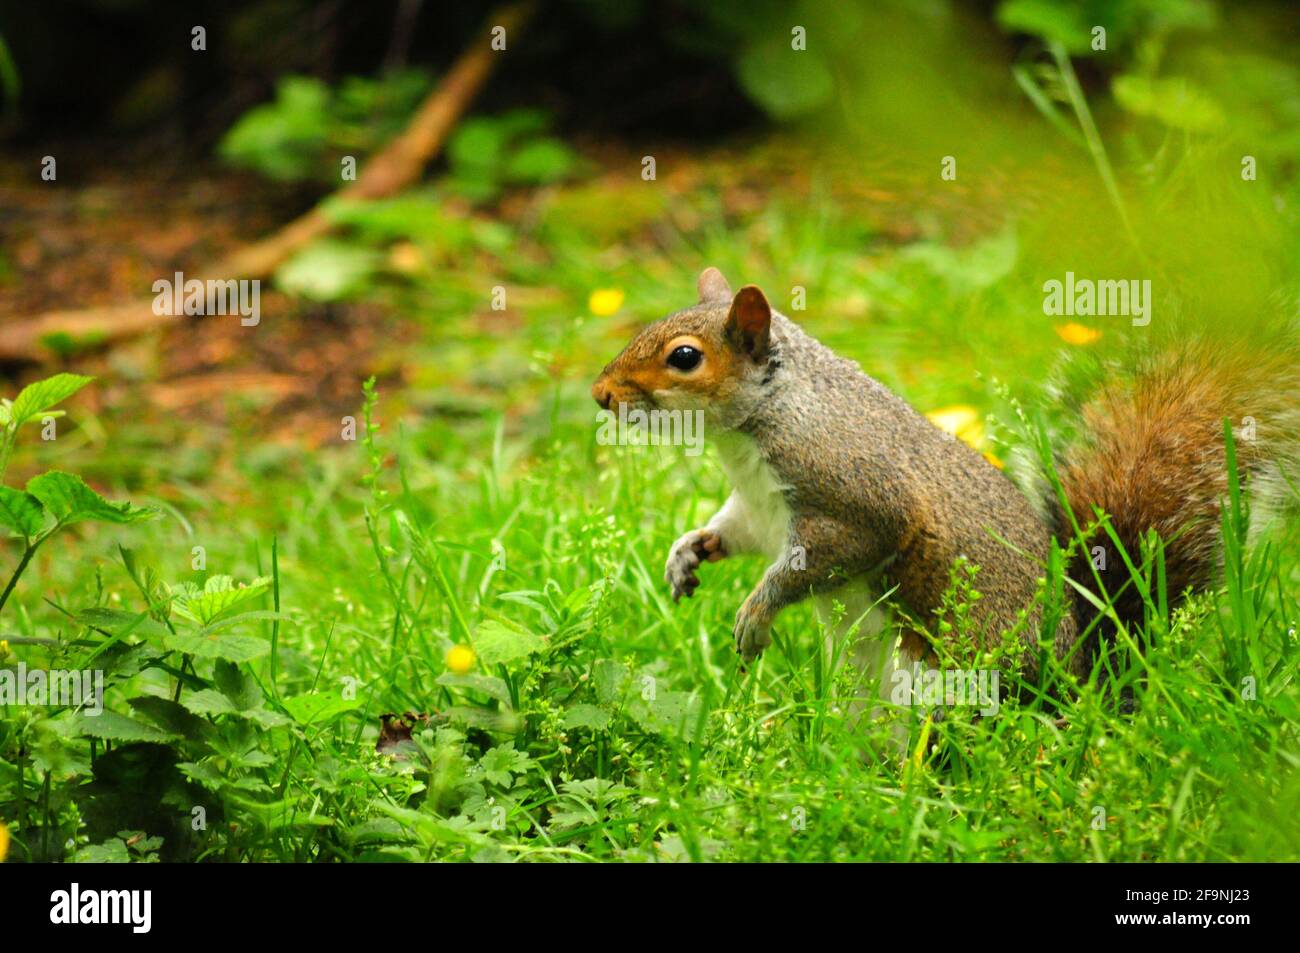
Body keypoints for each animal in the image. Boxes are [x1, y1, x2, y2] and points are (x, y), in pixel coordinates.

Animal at [591, 267, 1298, 693]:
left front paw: (755, 613)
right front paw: (686, 554)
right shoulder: (758, 508)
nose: (601, 395)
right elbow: (730, 531)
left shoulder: (853, 498)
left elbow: (816, 561)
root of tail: (1079, 687)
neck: (760, 425)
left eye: (685, 357)